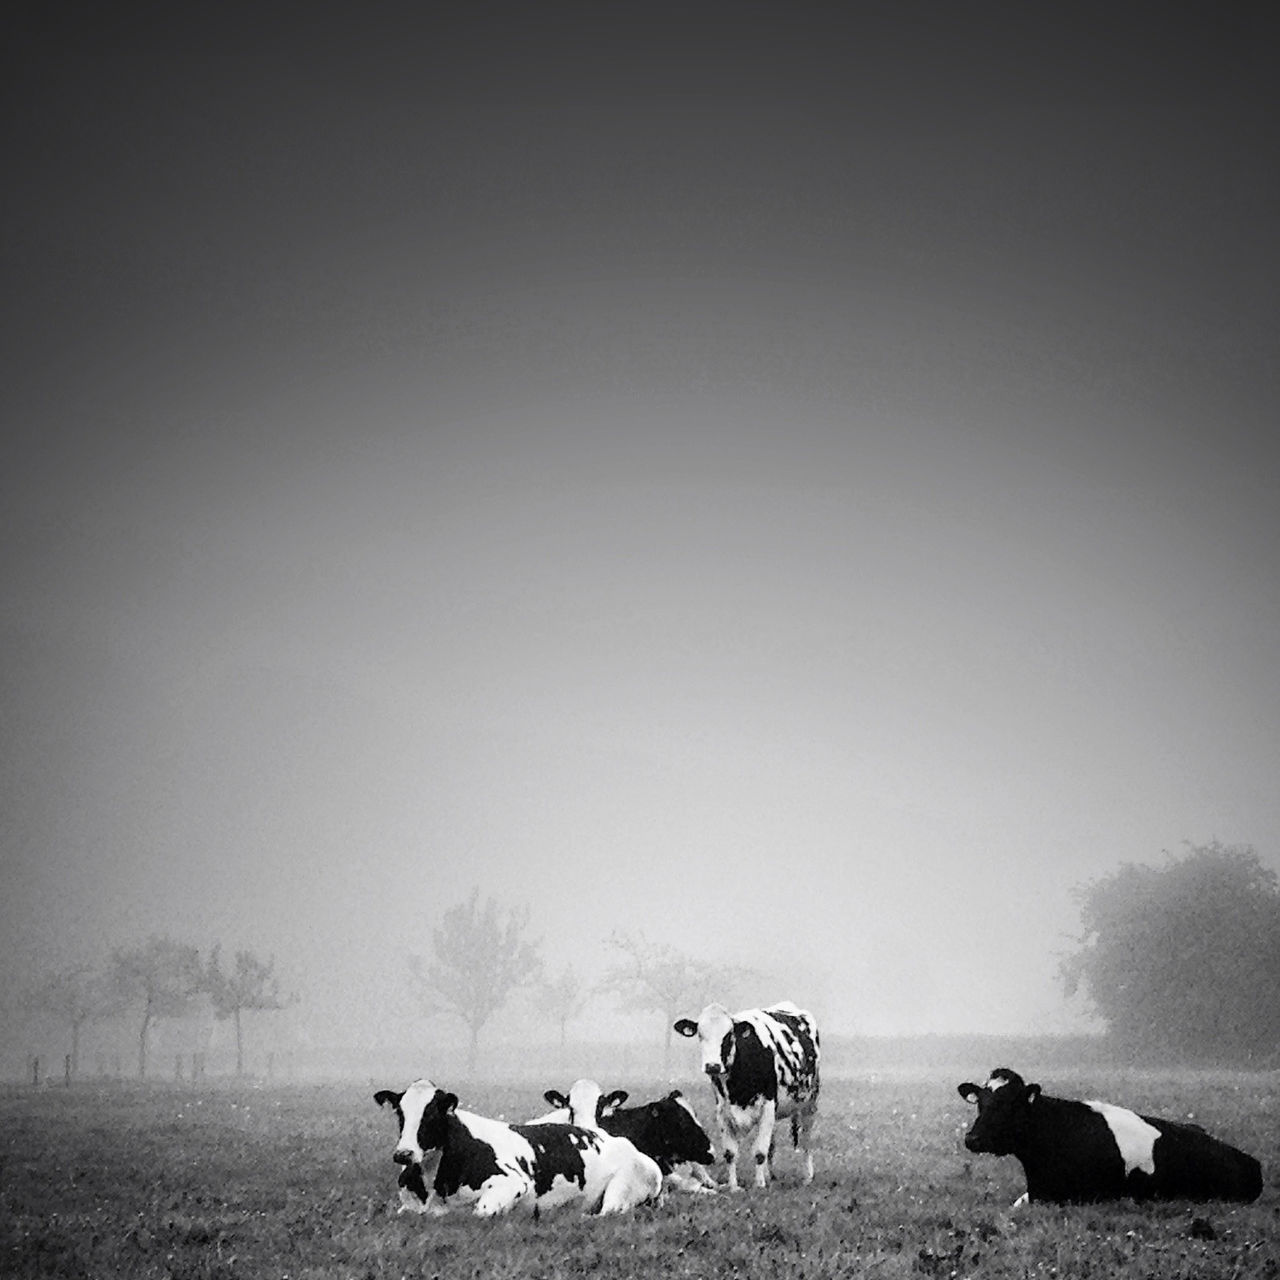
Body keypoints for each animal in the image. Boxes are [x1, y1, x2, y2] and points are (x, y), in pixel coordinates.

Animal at [373, 1075, 660, 1213]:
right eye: (400, 1113)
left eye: (432, 1114)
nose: (404, 1154)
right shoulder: (406, 1206)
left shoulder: (512, 1183)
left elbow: (479, 1212)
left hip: (621, 1191)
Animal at [670, 998, 819, 1187]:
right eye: (700, 1035)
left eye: (728, 1036)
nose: (712, 1066)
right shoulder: (722, 1110)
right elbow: (730, 1153)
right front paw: (734, 1186)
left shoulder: (768, 1105)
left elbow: (760, 1151)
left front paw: (759, 1185)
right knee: (773, 1144)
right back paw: (770, 1176)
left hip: (810, 1102)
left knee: (806, 1140)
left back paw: (807, 1176)